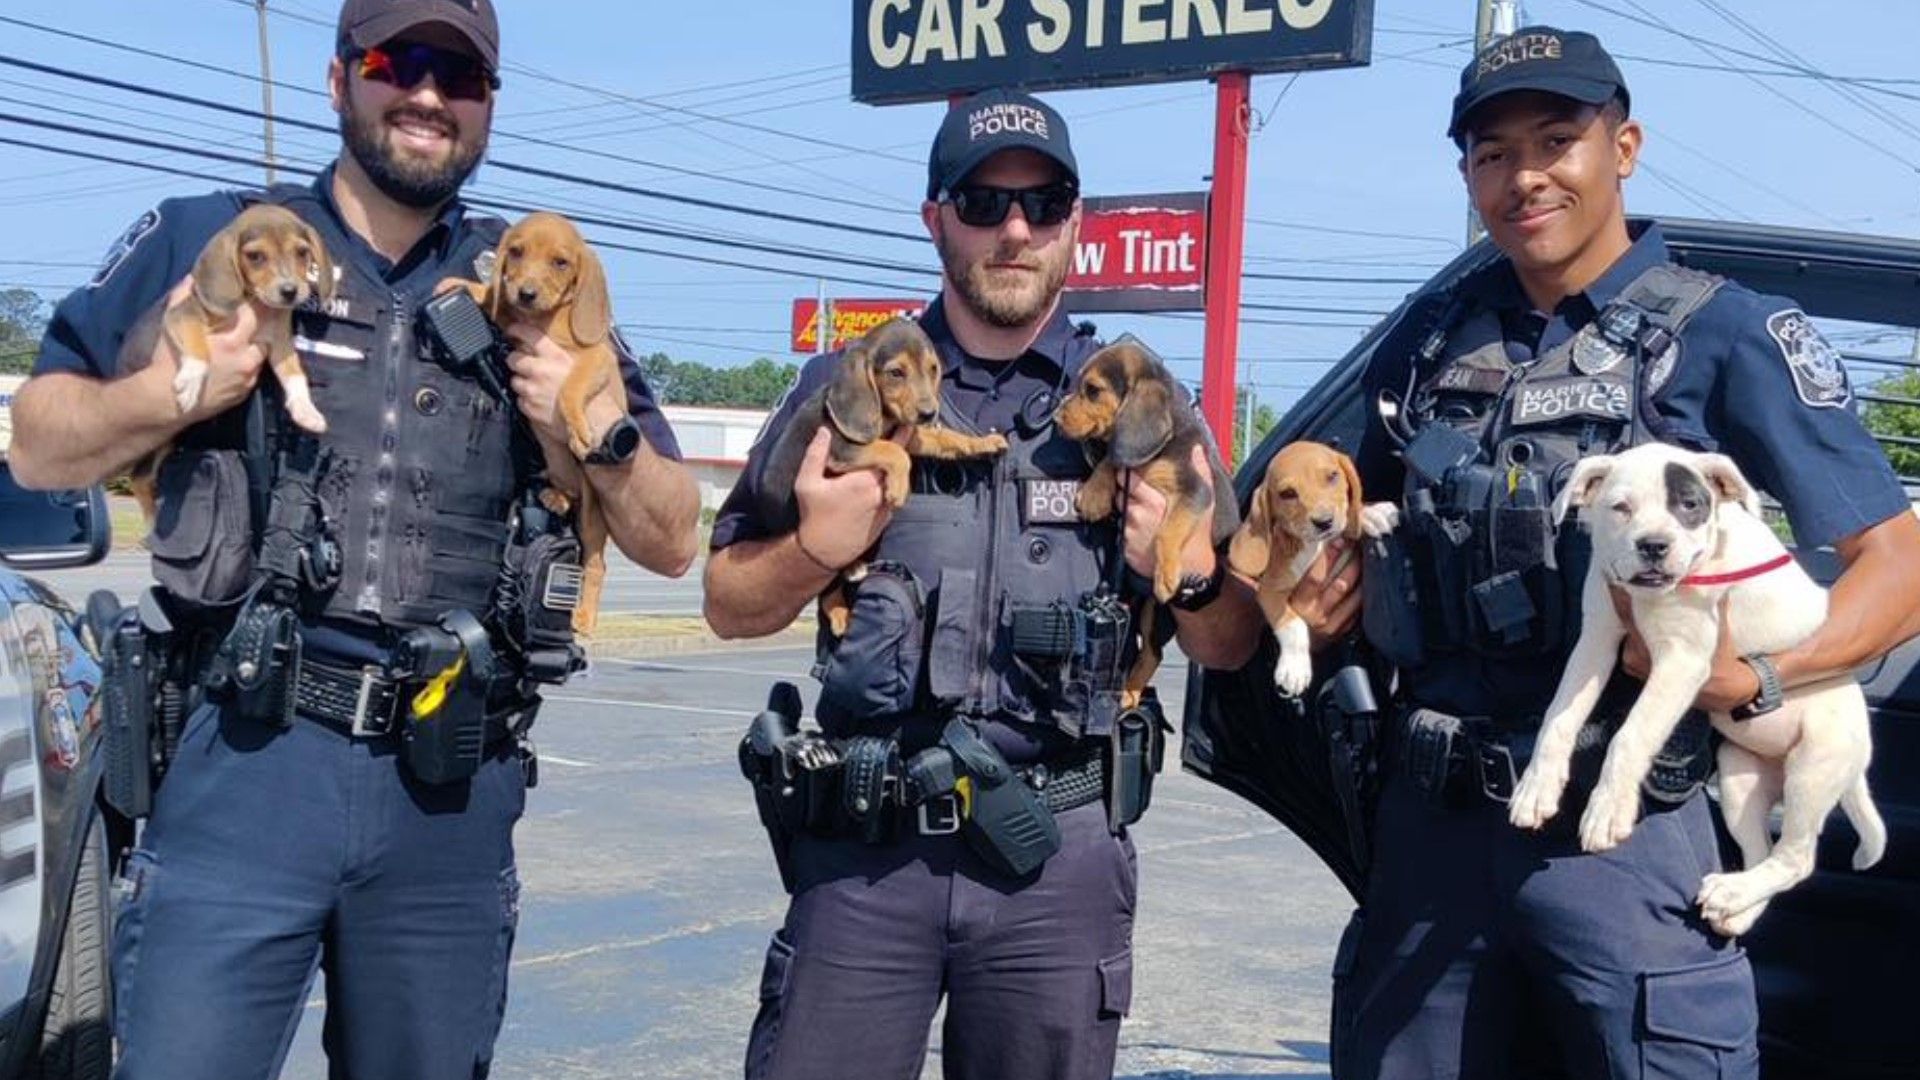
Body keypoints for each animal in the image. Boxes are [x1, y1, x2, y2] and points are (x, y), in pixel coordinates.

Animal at [756, 311, 1013, 630]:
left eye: (933, 369)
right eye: (896, 373)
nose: (929, 413)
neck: (885, 415)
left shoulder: (913, 434)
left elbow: (947, 438)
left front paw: (983, 442)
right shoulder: (841, 448)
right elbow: (894, 451)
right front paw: (898, 488)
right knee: (827, 589)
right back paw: (842, 608)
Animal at [1059, 336, 1236, 599]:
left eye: (1092, 390)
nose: (1054, 417)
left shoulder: (1195, 489)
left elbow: (1166, 531)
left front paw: (1166, 576)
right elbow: (1112, 456)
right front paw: (1094, 494)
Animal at [1228, 441, 1397, 691]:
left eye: (1333, 476)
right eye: (1287, 494)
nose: (1324, 522)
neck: (1314, 547)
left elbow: (1352, 515)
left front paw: (1372, 512)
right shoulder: (1269, 591)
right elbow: (1294, 625)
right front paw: (1295, 668)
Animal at [1505, 441, 1881, 930]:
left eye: (1689, 506)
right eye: (1620, 508)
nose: (1653, 545)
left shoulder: (1681, 660)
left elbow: (1630, 736)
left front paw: (1607, 808)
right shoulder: (1597, 638)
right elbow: (1558, 717)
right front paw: (1537, 787)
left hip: (1814, 767)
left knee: (1797, 859)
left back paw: (1739, 892)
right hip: (1740, 777)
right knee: (1762, 848)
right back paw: (1734, 902)